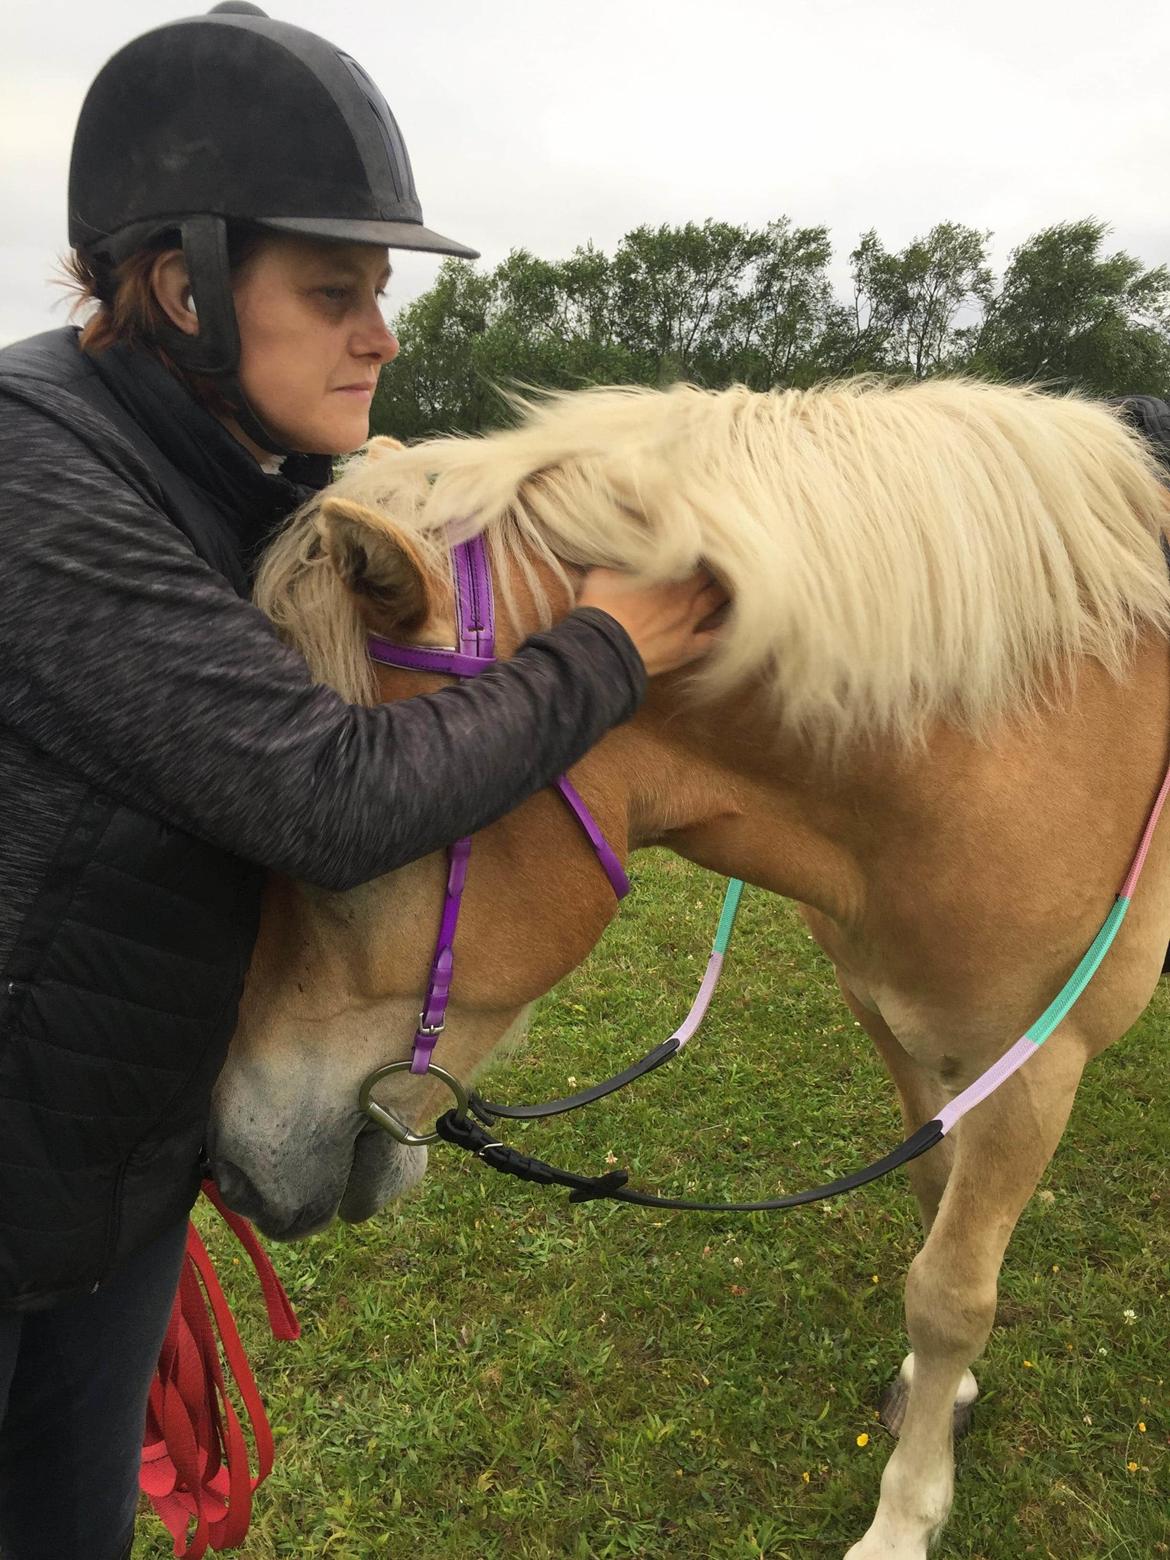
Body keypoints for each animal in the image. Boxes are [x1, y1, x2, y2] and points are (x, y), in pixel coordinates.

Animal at [210, 377, 1170, 1560]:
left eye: (337, 844)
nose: (232, 1169)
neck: (995, 742)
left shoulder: (1038, 1068)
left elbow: (952, 1290)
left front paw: (905, 1514)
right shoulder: (898, 1024)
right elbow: (933, 1205)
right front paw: (943, 1398)